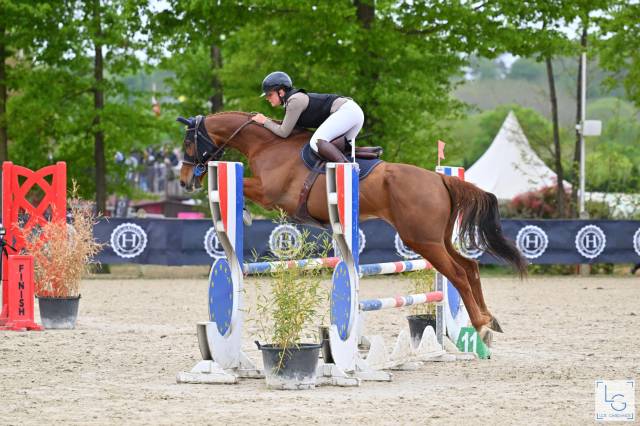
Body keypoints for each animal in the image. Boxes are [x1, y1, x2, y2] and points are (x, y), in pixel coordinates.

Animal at [178, 111, 527, 345]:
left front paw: (244, 213)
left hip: (423, 240)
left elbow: (244, 188)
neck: (267, 145)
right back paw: (489, 320)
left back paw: (481, 325)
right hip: (438, 238)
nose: (184, 181)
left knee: (457, 274)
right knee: (469, 267)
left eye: (187, 142)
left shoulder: (272, 194)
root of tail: (441, 178)